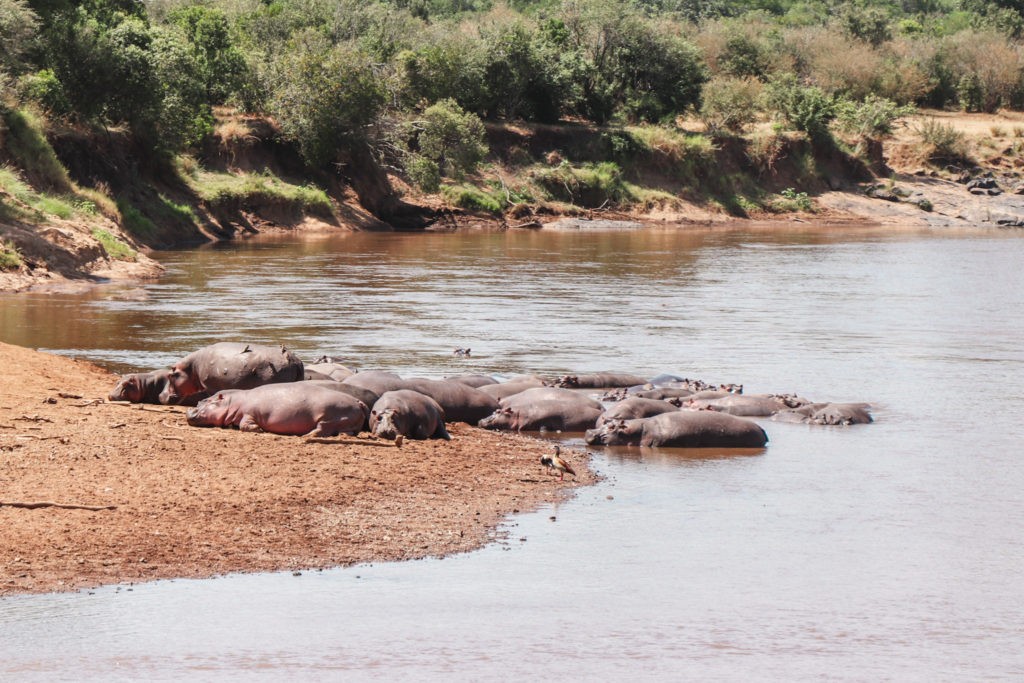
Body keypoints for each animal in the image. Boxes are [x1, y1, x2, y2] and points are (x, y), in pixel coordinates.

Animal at [187, 385, 368, 438]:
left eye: (208, 401)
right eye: (199, 401)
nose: (188, 412)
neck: (232, 401)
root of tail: (358, 401)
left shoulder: (249, 413)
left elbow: (245, 423)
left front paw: (258, 429)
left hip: (327, 416)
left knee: (321, 430)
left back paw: (306, 435)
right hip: (345, 423)